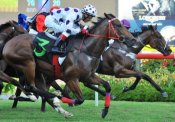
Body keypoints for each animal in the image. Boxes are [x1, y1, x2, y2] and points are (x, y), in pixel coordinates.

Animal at [1, 13, 135, 118]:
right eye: (118, 25)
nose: (133, 40)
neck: (87, 50)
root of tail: (8, 44)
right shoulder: (71, 78)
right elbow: (80, 99)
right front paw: (66, 100)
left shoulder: (89, 76)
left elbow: (107, 86)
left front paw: (105, 110)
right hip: (29, 64)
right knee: (31, 88)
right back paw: (53, 98)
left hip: (38, 72)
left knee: (37, 90)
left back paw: (60, 108)